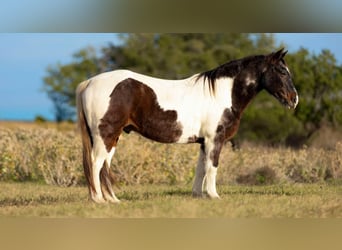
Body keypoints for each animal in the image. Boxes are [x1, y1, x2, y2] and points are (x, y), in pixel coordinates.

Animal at [76, 47, 298, 202]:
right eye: (282, 71)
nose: (294, 99)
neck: (221, 93)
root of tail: (89, 83)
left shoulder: (204, 142)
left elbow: (201, 168)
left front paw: (198, 196)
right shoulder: (215, 140)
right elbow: (212, 167)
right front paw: (214, 195)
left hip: (112, 137)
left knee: (104, 166)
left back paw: (113, 200)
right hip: (105, 136)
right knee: (96, 163)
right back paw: (98, 200)